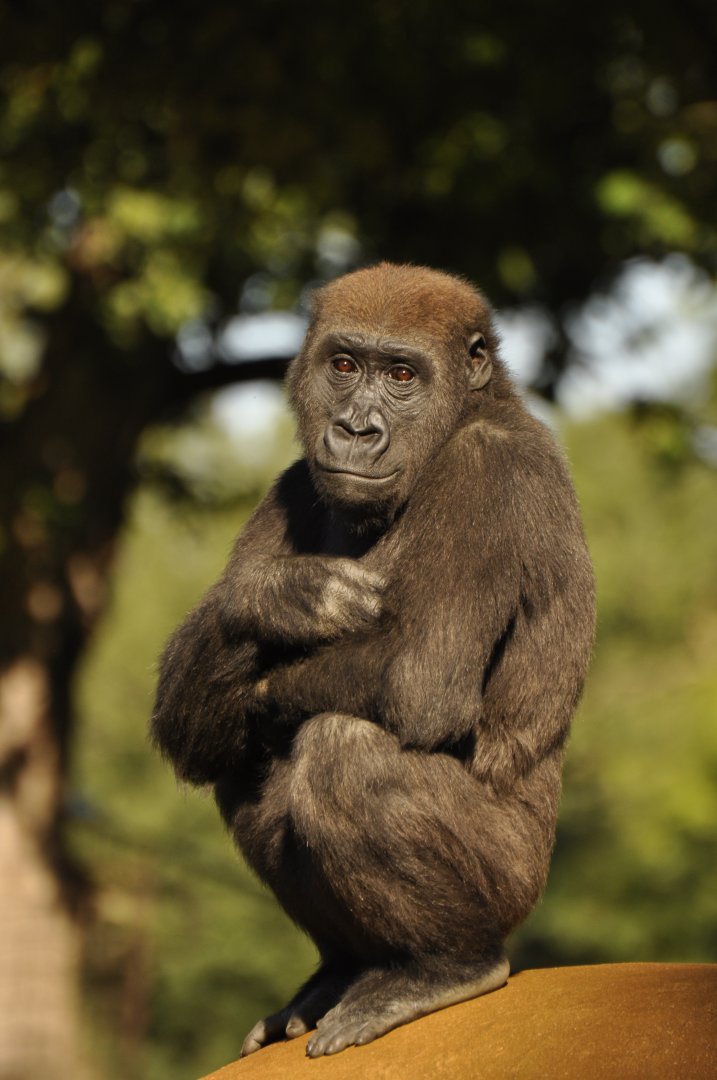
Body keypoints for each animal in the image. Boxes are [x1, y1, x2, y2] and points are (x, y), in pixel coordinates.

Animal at [151, 262, 595, 1058]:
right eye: (345, 366)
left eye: (401, 375)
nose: (357, 429)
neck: (474, 405)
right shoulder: (295, 481)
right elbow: (193, 722)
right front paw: (276, 597)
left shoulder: (490, 466)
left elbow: (420, 679)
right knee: (245, 762)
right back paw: (339, 972)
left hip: (517, 884)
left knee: (339, 752)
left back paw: (446, 968)